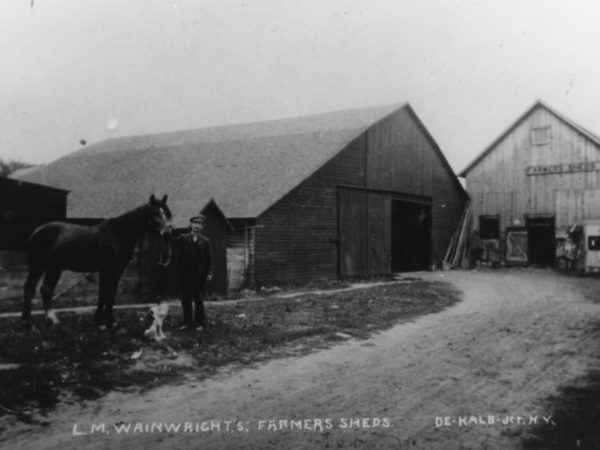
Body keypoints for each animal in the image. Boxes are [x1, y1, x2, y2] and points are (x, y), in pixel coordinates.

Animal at [21, 192, 171, 328]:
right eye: (155, 213)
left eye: (168, 214)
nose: (167, 233)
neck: (117, 234)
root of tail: (37, 231)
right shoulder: (107, 270)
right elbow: (105, 294)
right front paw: (104, 321)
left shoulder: (117, 270)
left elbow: (109, 294)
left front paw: (106, 321)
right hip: (40, 266)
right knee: (34, 288)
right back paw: (32, 320)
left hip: (52, 267)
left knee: (42, 289)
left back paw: (47, 319)